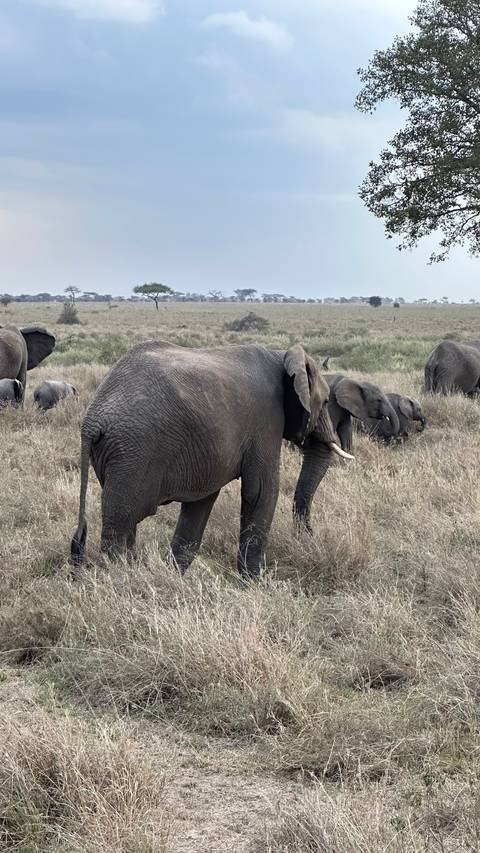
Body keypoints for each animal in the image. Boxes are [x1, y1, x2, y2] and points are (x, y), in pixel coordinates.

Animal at [70, 341, 353, 578]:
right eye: (325, 402)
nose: (310, 537)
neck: (282, 354)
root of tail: (93, 419)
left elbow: (201, 502)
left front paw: (175, 576)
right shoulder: (267, 420)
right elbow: (261, 492)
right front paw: (254, 584)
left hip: (119, 454)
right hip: (134, 450)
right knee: (122, 519)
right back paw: (119, 579)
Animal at [293, 373, 400, 532]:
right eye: (378, 400)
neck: (356, 382)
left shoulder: (345, 410)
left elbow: (346, 432)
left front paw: (348, 464)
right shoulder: (330, 405)